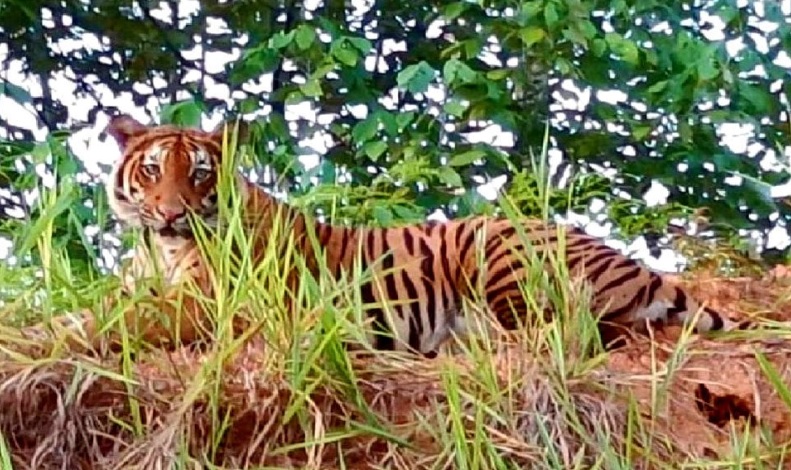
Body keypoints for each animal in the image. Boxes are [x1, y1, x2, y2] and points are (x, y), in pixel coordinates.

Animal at [13, 115, 745, 358]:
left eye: (198, 173)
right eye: (152, 171)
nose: (170, 214)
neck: (160, 250)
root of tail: (638, 265)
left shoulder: (208, 306)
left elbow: (104, 323)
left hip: (496, 245)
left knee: (565, 332)